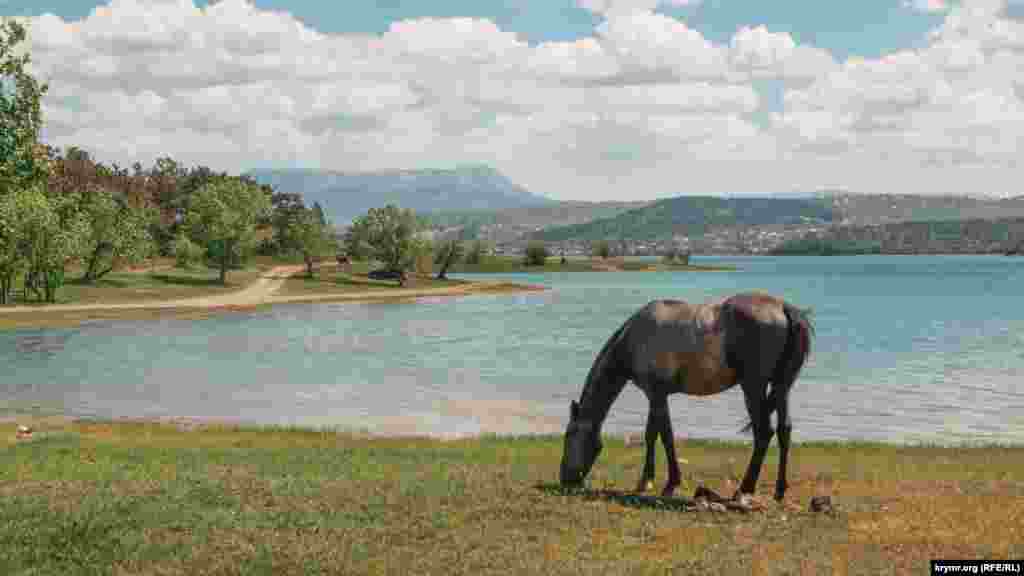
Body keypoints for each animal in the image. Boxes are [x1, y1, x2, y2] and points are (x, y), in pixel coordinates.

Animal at [557, 291, 811, 502]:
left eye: (568, 436)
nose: (564, 479)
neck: (633, 339)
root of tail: (783, 308)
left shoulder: (657, 394)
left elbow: (664, 435)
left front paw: (668, 484)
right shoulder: (656, 394)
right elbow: (653, 434)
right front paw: (646, 480)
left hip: (753, 386)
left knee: (763, 433)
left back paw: (744, 489)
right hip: (781, 385)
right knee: (784, 430)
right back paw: (779, 490)